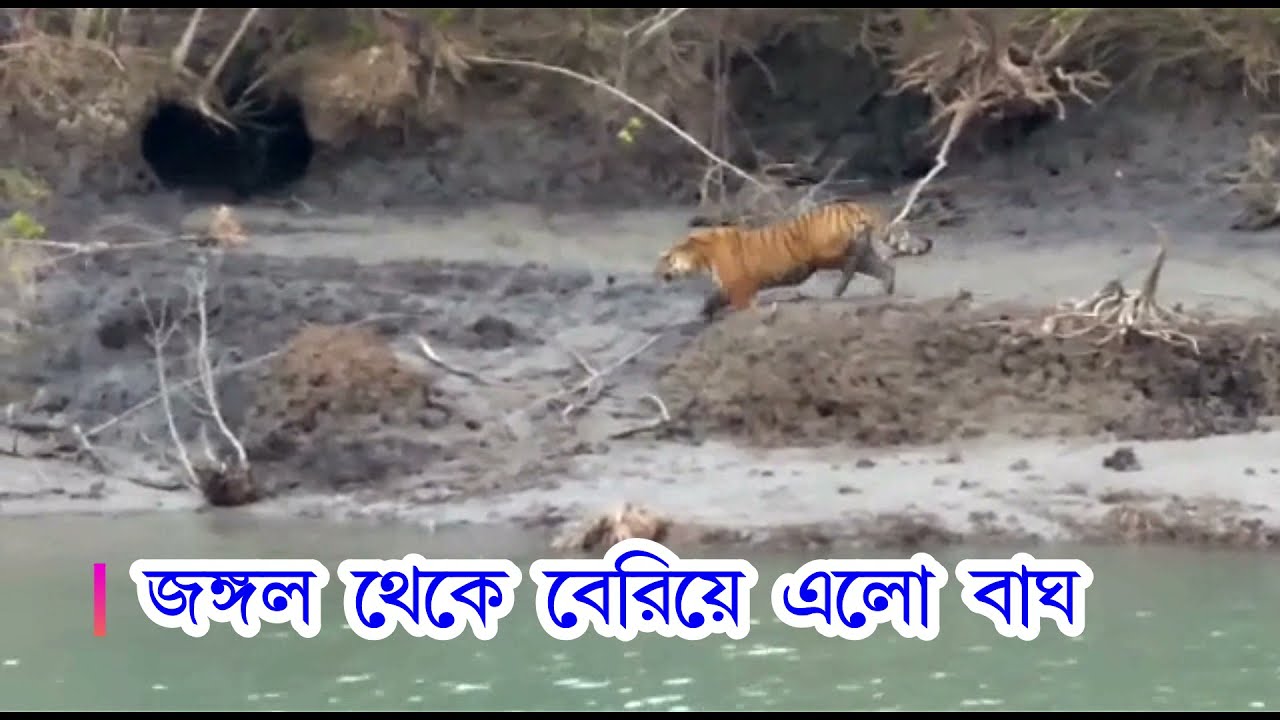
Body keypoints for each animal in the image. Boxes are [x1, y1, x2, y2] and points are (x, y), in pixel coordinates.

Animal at [655, 200, 934, 320]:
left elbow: (742, 304)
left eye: (666, 258)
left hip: (827, 253)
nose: (656, 274)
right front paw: (705, 311)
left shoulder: (738, 285)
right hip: (860, 251)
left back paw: (838, 289)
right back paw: (884, 289)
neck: (703, 256)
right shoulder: (729, 285)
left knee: (853, 263)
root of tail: (855, 204)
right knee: (884, 266)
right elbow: (714, 297)